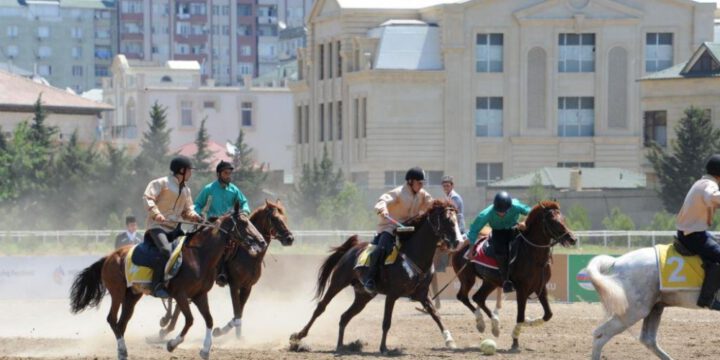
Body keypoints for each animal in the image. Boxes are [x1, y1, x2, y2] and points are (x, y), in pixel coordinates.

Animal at [67, 202, 264, 360]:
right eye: (244, 223)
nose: (261, 242)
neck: (199, 256)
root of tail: (109, 257)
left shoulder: (200, 295)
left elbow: (209, 320)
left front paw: (205, 350)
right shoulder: (180, 295)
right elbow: (190, 320)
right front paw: (172, 344)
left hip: (132, 296)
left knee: (121, 323)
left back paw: (123, 352)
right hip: (117, 292)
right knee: (112, 319)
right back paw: (122, 350)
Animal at [156, 198, 294, 338]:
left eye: (285, 218)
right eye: (275, 218)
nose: (290, 238)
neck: (249, 256)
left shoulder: (247, 287)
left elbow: (239, 312)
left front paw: (229, 333)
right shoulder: (234, 284)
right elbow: (237, 311)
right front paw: (230, 334)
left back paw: (167, 326)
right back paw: (166, 324)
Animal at [290, 200, 464, 354]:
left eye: (456, 220)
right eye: (448, 220)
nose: (458, 242)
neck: (412, 255)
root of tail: (352, 248)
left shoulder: (422, 294)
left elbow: (436, 315)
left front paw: (450, 340)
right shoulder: (392, 295)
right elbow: (386, 322)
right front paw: (384, 348)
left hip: (363, 296)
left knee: (344, 317)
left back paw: (340, 346)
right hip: (337, 283)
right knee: (321, 307)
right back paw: (298, 336)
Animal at [452, 200, 576, 348]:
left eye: (563, 218)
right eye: (553, 221)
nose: (572, 239)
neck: (532, 254)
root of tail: (464, 244)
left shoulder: (541, 287)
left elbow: (548, 314)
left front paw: (530, 322)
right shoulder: (522, 290)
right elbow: (520, 316)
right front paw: (515, 340)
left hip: (490, 281)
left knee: (478, 298)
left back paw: (495, 326)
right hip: (467, 278)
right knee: (463, 296)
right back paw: (481, 323)